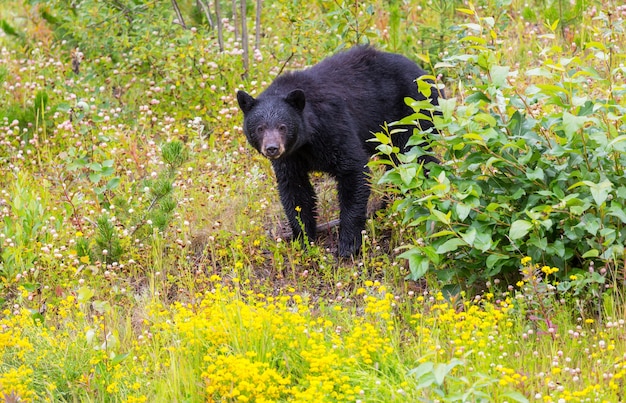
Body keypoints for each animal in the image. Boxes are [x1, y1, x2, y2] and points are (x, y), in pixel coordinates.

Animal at [235, 45, 438, 258]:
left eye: (283, 126)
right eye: (260, 128)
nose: (272, 148)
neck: (306, 140)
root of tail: (425, 73)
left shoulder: (333, 125)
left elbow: (353, 170)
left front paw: (348, 243)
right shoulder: (290, 157)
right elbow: (295, 190)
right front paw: (304, 239)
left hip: (410, 113)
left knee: (414, 156)